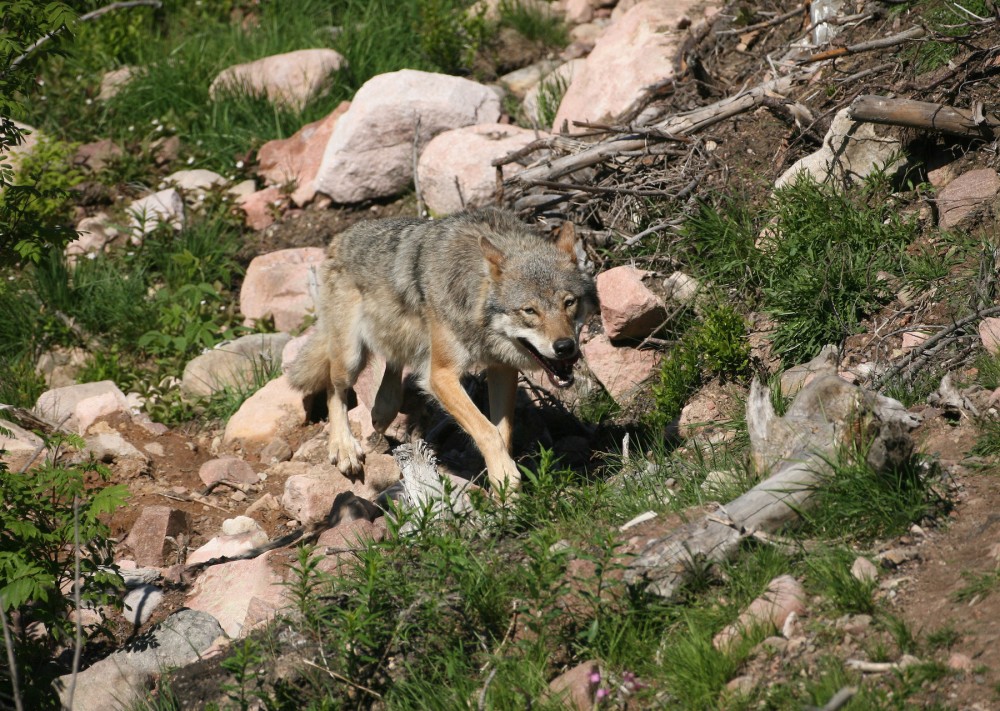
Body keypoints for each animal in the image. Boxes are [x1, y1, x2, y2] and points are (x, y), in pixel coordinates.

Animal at [290, 209, 600, 492]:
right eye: (529, 311)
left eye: (569, 302)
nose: (565, 347)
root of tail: (338, 239)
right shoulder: (441, 376)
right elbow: (487, 431)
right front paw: (505, 478)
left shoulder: (501, 368)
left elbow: (503, 432)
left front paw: (503, 485)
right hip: (351, 358)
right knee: (334, 389)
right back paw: (344, 446)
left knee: (393, 367)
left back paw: (382, 408)